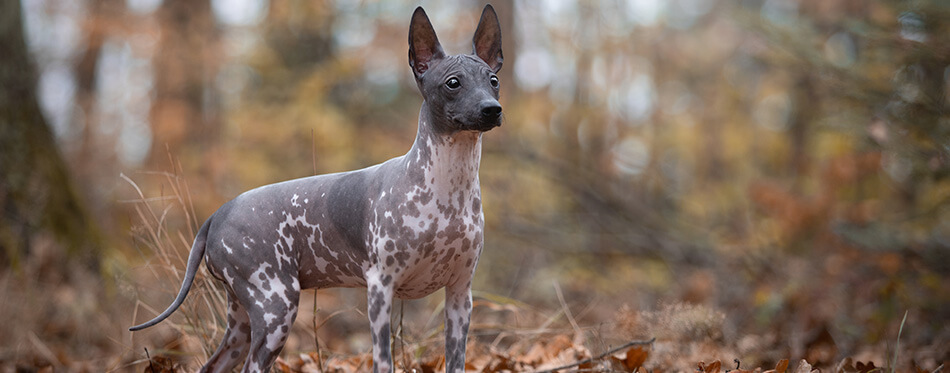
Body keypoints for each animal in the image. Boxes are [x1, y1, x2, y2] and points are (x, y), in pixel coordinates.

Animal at [133, 3, 506, 372]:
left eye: (493, 80)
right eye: (453, 83)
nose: (492, 109)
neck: (447, 187)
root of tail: (217, 214)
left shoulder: (460, 295)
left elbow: (456, 361)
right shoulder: (380, 289)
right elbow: (383, 361)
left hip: (242, 319)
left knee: (213, 365)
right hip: (276, 307)